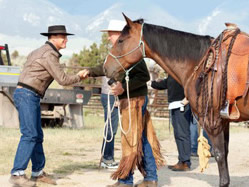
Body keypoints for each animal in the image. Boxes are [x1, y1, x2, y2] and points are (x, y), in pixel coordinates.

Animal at [103, 13, 249, 186]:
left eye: (120, 40)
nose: (105, 67)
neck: (203, 63)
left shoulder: (212, 122)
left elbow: (219, 154)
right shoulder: (224, 121)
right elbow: (225, 153)